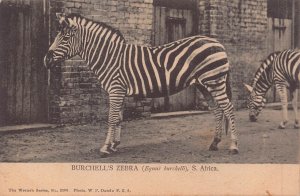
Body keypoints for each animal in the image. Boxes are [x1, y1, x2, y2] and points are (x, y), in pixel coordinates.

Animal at [43, 13, 238, 156]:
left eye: (65, 37)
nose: (46, 60)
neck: (109, 57)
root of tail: (216, 42)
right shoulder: (119, 91)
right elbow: (119, 118)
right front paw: (115, 145)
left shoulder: (115, 89)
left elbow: (111, 118)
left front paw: (105, 148)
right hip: (204, 85)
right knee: (218, 110)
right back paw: (214, 143)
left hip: (215, 81)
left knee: (228, 109)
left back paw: (233, 146)